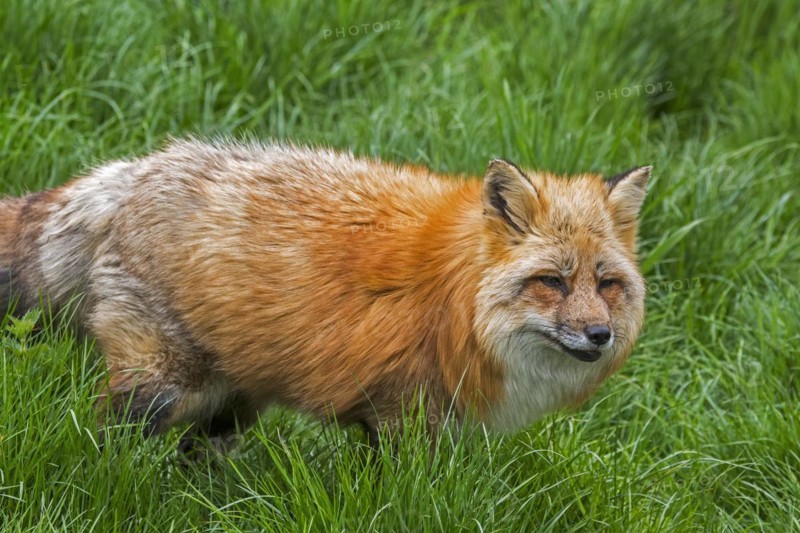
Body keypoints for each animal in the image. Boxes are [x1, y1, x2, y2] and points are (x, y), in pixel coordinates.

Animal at [0, 139, 649, 448]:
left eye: (606, 285)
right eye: (553, 282)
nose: (599, 335)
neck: (458, 301)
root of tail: (139, 167)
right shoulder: (400, 414)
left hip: (232, 400)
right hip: (163, 386)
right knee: (106, 441)